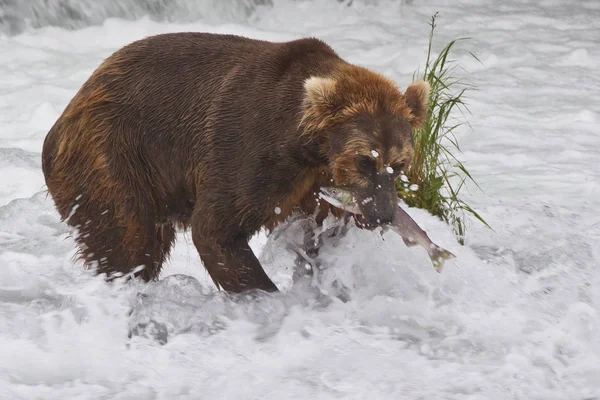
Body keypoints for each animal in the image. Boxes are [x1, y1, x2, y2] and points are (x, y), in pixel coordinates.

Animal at [41, 32, 426, 294]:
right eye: (365, 160)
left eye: (399, 165)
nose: (382, 214)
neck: (307, 145)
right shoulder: (251, 150)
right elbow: (216, 229)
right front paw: (265, 292)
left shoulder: (316, 182)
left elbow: (318, 232)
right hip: (115, 156)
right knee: (128, 239)